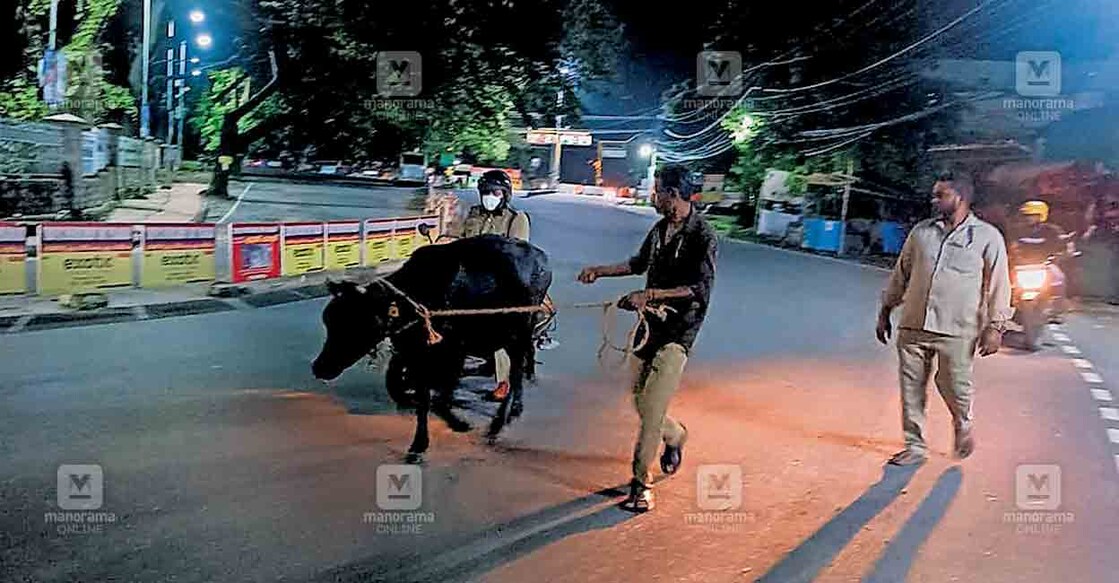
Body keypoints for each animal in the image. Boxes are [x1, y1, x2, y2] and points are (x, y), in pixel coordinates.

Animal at [313, 233, 552, 461]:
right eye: (328, 320)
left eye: (357, 324)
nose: (319, 367)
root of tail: (542, 258)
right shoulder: (415, 354)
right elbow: (419, 396)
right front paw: (419, 444)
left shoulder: (452, 352)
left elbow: (439, 398)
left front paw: (458, 424)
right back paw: (513, 411)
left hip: (519, 333)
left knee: (517, 369)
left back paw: (499, 422)